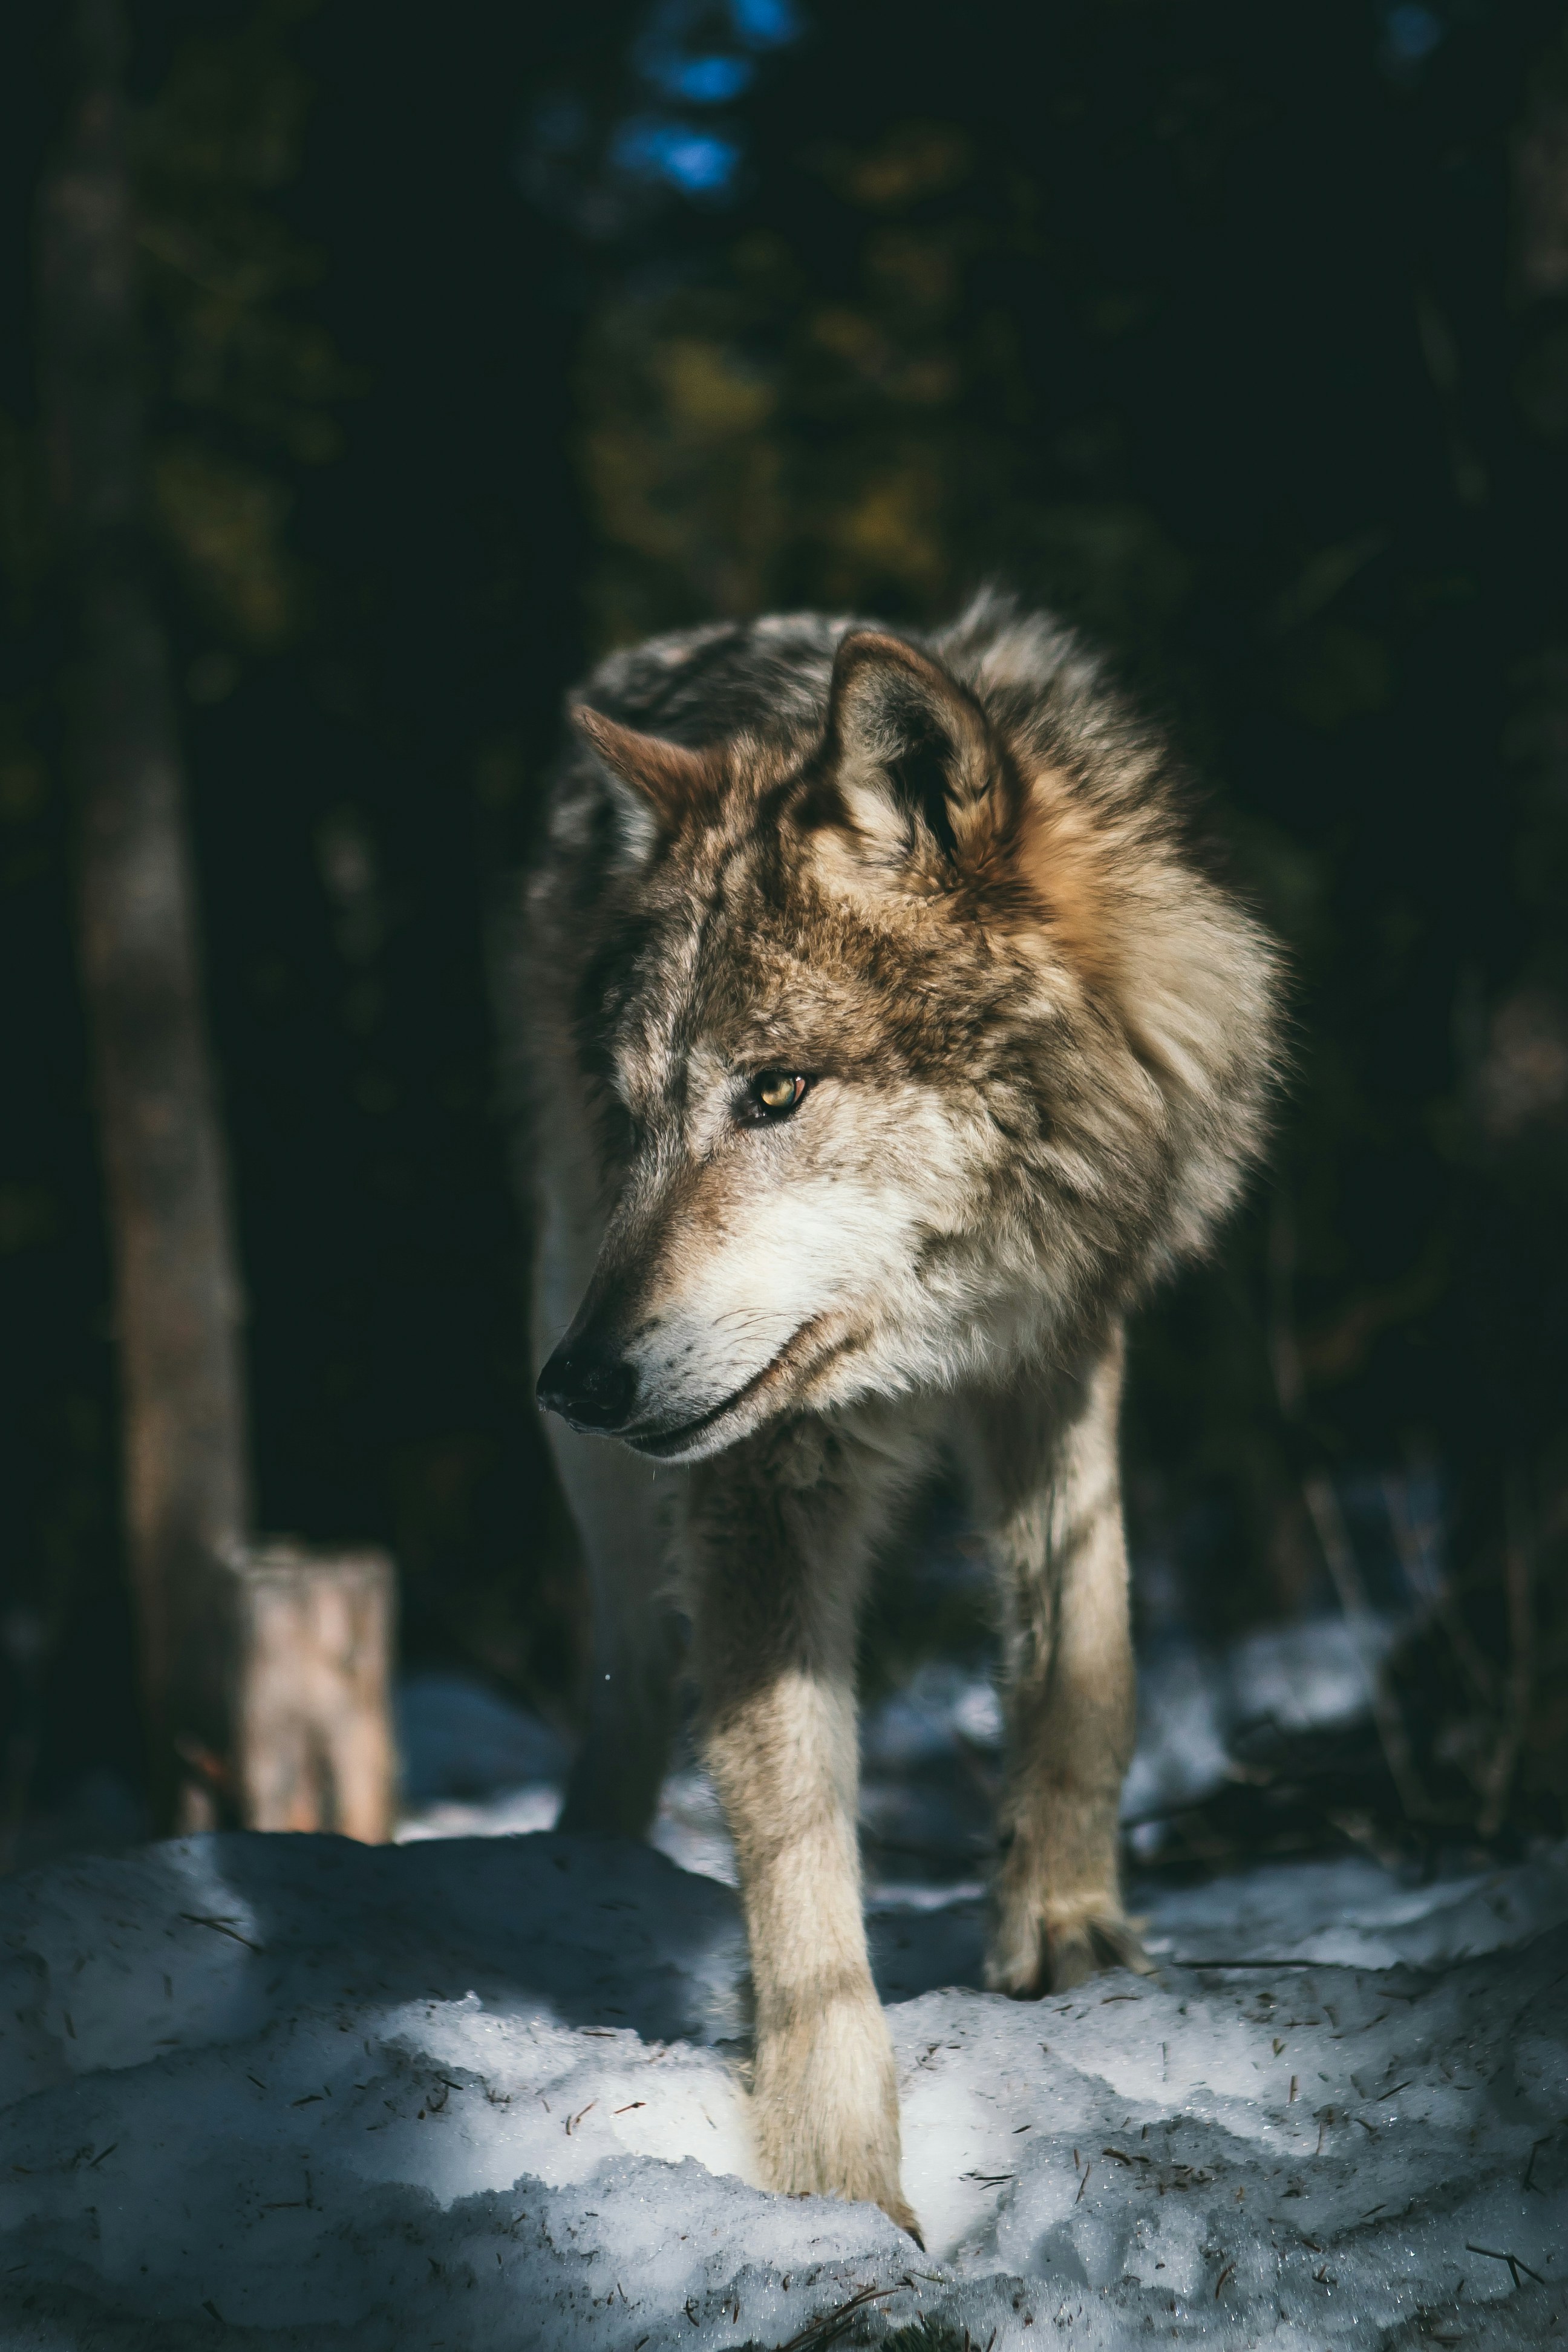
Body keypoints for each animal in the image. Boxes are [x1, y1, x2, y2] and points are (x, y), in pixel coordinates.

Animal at [509, 592, 1281, 2238]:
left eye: (775, 1091)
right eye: (640, 1116)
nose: (579, 1380)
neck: (936, 1323)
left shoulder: (1062, 1346)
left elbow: (1088, 1657)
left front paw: (1066, 1931)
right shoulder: (758, 1475)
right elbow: (796, 1848)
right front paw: (837, 2187)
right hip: (566, 1317)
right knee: (630, 1664)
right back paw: (576, 1863)